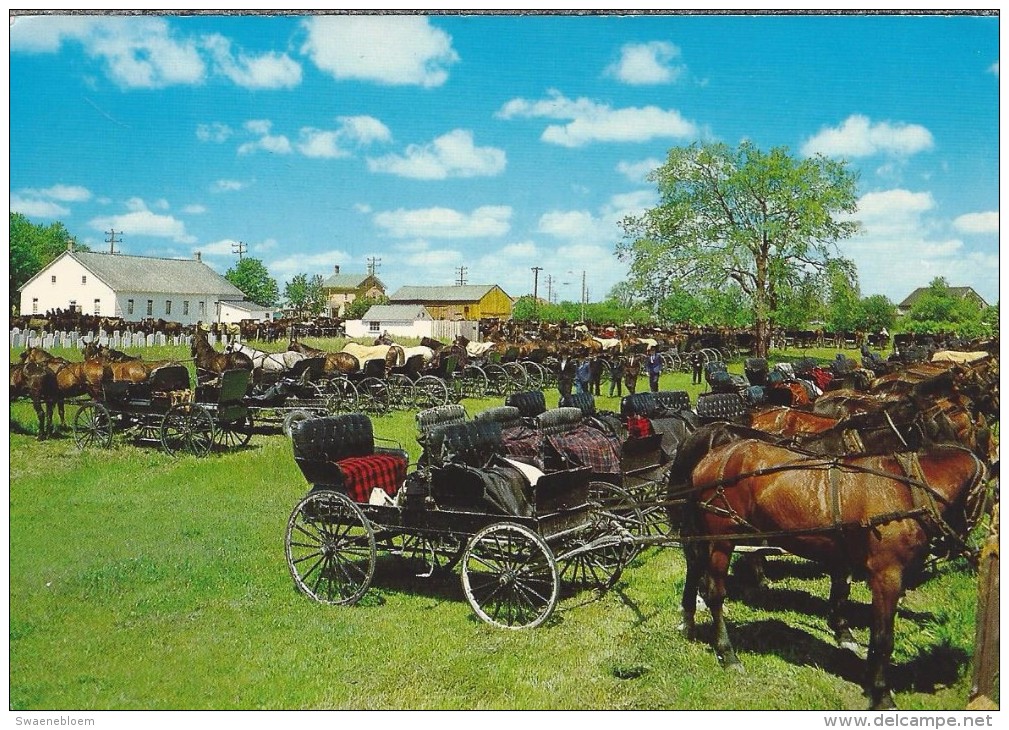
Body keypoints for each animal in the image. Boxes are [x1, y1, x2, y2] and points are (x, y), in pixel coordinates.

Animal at [678, 440, 984, 706]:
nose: (972, 552)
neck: (907, 489)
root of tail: (709, 459)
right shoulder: (887, 575)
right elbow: (883, 638)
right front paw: (881, 694)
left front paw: (868, 678)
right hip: (722, 537)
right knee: (716, 594)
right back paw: (728, 654)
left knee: (695, 568)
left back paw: (689, 622)